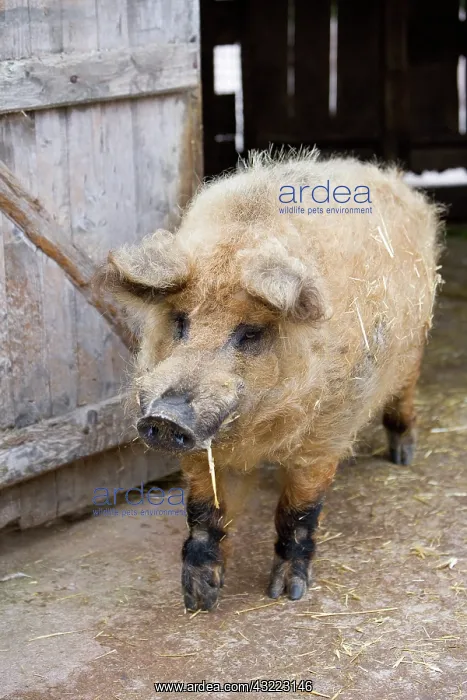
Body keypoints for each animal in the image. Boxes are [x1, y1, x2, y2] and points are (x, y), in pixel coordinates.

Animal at [97, 150, 442, 611]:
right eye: (180, 321)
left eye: (250, 333)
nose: (166, 418)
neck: (254, 434)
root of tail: (395, 181)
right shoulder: (203, 448)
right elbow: (204, 511)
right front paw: (199, 600)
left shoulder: (326, 433)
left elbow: (299, 510)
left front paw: (287, 594)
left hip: (415, 345)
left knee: (403, 395)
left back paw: (402, 456)